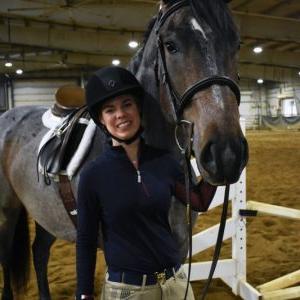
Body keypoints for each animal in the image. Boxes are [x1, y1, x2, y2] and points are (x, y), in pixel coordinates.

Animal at [0, 1, 248, 298]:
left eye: (236, 44)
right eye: (171, 45)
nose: (226, 153)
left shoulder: (178, 250)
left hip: (45, 212)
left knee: (39, 252)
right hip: (7, 212)